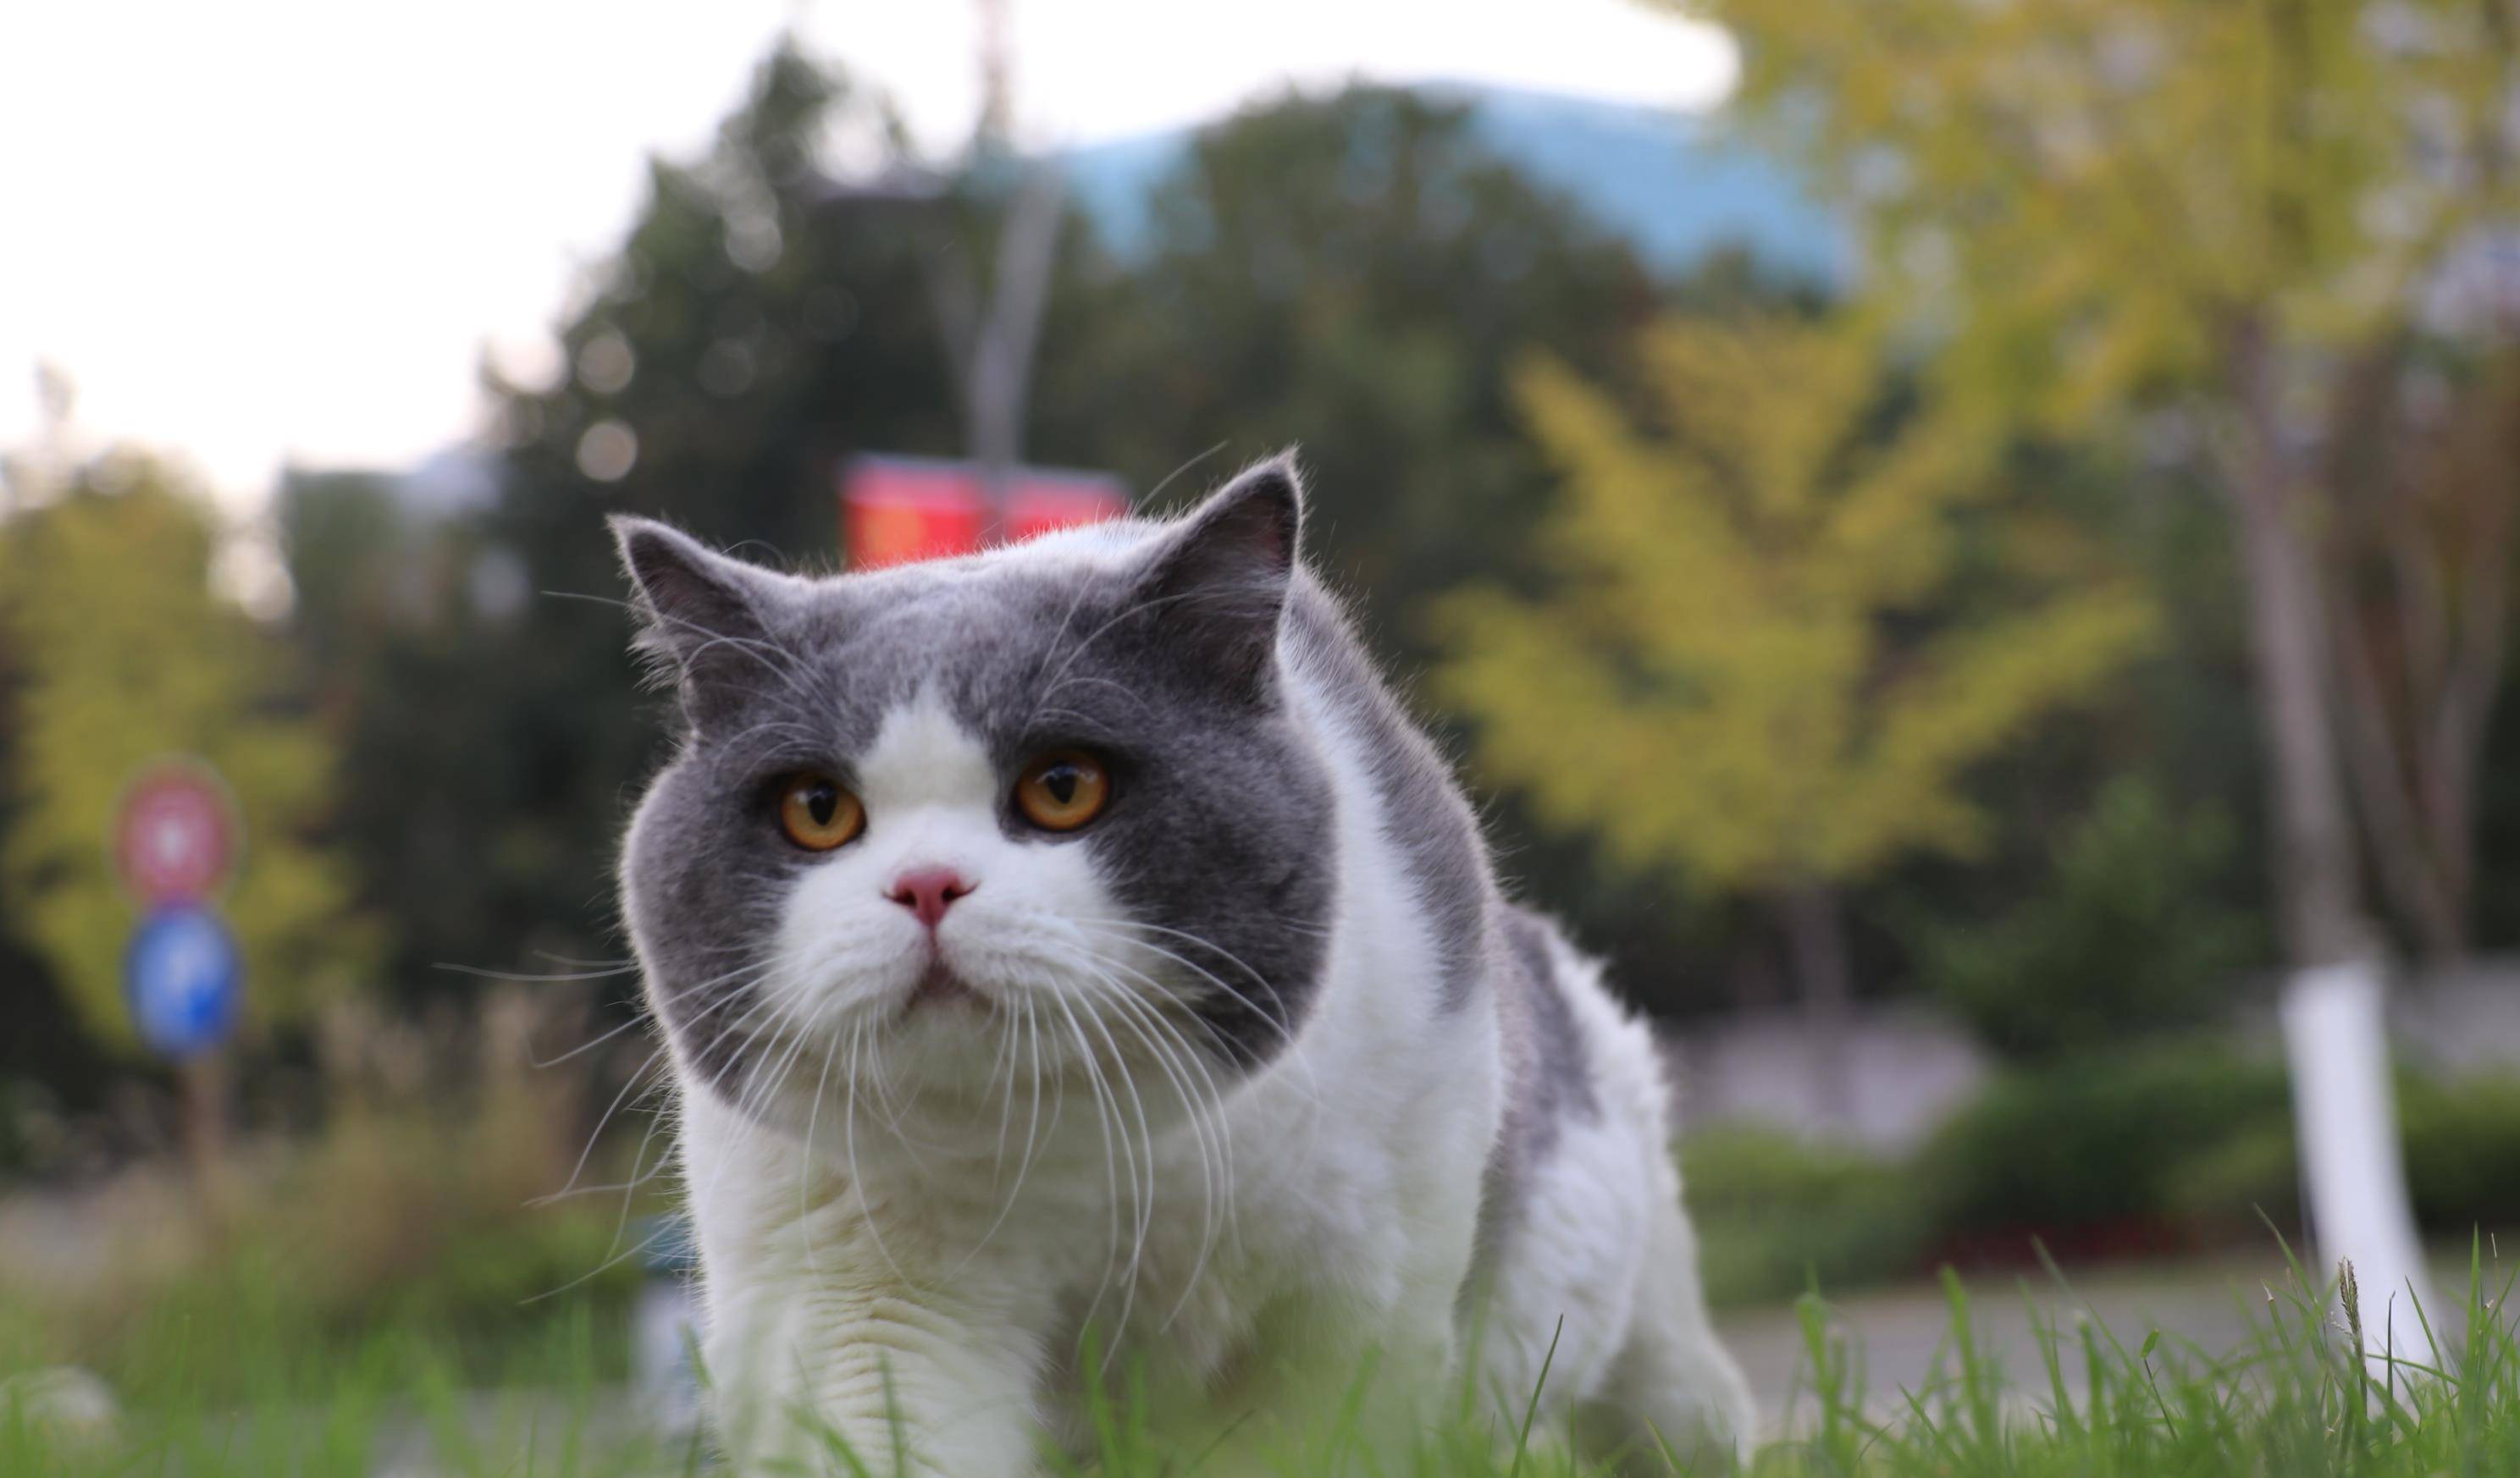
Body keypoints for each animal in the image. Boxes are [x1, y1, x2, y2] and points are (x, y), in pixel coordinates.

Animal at [610, 455, 1754, 1470]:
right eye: (818, 809)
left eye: (1064, 786)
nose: (927, 885)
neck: (1069, 1150)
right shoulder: (864, 1308)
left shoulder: (1348, 1316)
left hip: (1645, 1314)